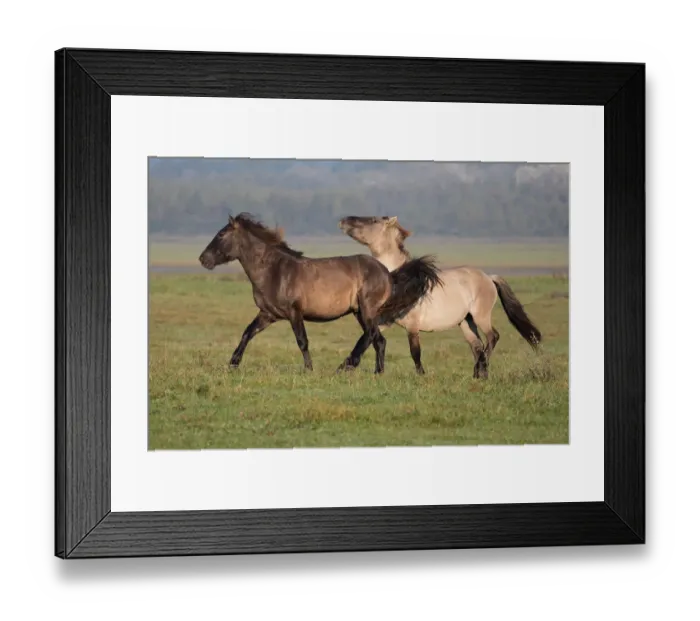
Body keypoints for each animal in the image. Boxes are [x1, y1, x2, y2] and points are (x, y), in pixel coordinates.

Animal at [198, 213, 443, 374]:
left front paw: (309, 370)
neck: (275, 270)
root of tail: (387, 274)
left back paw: (348, 366)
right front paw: (232, 364)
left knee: (372, 337)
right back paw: (377, 372)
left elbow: (302, 341)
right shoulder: (268, 314)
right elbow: (247, 333)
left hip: (367, 310)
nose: (203, 259)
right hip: (359, 312)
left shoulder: (294, 312)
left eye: (221, 234)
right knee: (378, 340)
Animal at [338, 215, 542, 379]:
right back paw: (478, 373)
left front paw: (421, 374)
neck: (403, 282)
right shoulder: (385, 321)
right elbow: (370, 338)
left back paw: (481, 369)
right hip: (466, 322)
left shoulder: (413, 326)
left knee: (493, 337)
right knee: (477, 345)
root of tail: (488, 277)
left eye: (373, 220)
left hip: (481, 316)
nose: (344, 220)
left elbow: (415, 352)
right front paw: (351, 366)